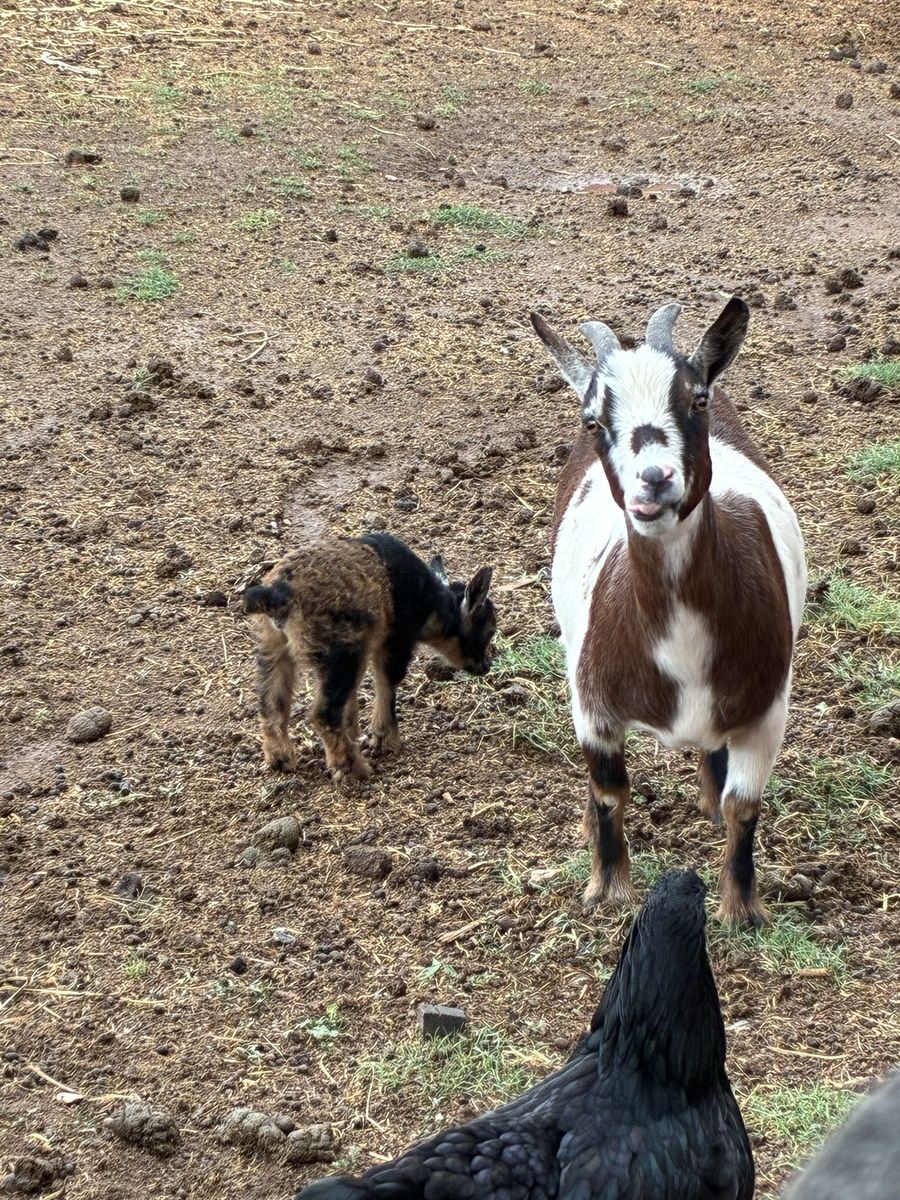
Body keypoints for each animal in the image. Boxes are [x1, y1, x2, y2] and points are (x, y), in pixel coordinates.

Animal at [243, 533, 496, 781]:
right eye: (489, 630)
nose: (485, 666)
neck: (432, 605)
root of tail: (279, 593)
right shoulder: (397, 639)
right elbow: (387, 683)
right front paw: (386, 741)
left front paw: (356, 732)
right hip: (340, 652)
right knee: (324, 713)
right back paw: (352, 767)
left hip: (273, 646)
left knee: (271, 701)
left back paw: (280, 758)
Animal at [532, 297, 806, 926]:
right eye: (593, 420)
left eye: (696, 399)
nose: (654, 479)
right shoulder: (593, 704)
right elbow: (610, 791)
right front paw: (608, 889)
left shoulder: (766, 711)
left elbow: (743, 807)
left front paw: (741, 909)